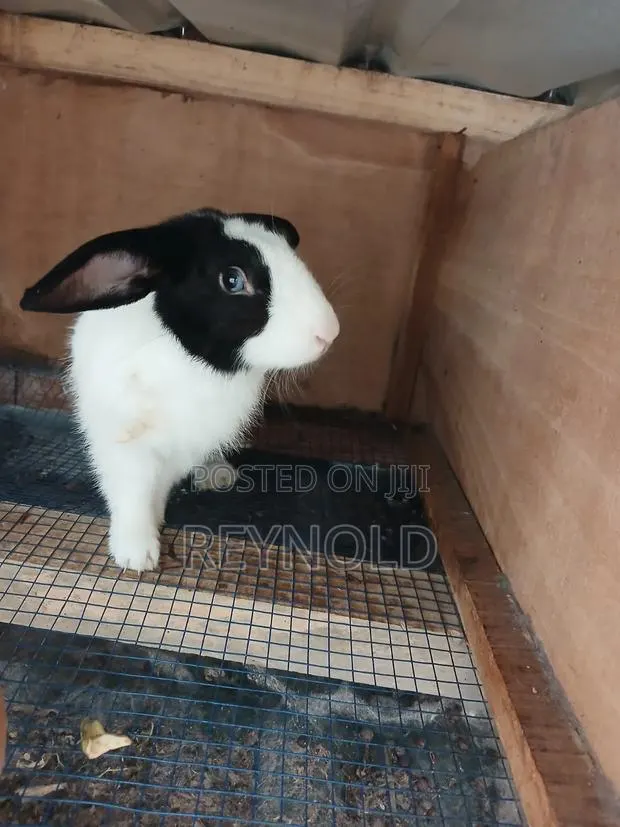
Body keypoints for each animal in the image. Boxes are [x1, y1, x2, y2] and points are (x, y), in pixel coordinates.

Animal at [20, 207, 340, 573]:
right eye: (232, 280)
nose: (329, 332)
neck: (194, 364)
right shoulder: (125, 441)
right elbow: (133, 493)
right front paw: (137, 554)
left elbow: (159, 487)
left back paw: (217, 475)